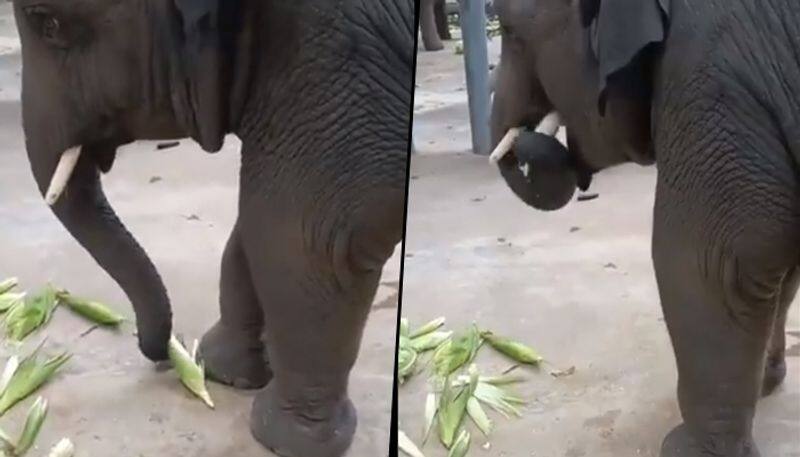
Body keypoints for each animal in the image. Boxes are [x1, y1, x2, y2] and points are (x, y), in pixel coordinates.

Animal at [10, 0, 412, 456]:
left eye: (49, 24)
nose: (164, 353)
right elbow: (259, 213)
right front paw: (223, 373)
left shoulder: (333, 57)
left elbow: (313, 230)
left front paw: (284, 440)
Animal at [490, 0, 800, 456]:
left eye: (510, 31)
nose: (526, 142)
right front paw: (765, 385)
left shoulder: (710, 83)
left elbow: (709, 266)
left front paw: (684, 448)